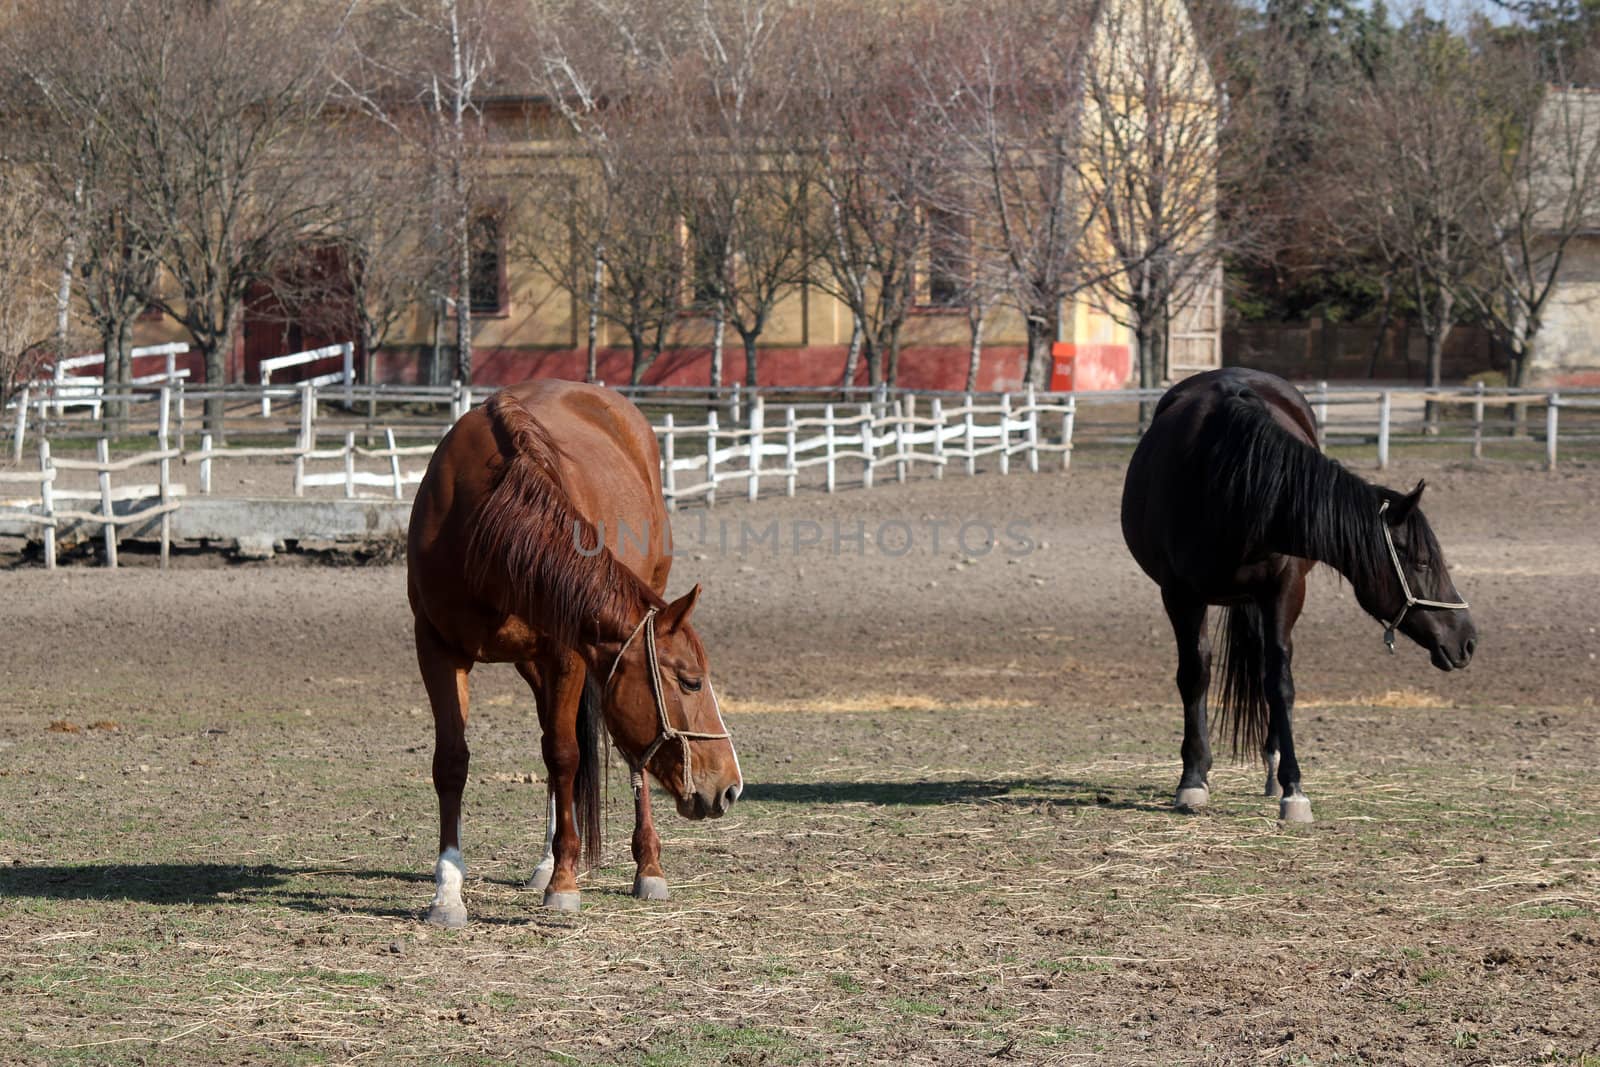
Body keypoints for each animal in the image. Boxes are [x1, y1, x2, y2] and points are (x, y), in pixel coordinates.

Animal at [406, 379, 742, 921]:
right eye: (691, 681)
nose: (730, 786)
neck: (486, 527)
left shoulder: (568, 655)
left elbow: (565, 756)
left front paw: (564, 881)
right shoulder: (436, 648)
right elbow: (452, 762)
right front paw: (448, 890)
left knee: (619, 759)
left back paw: (647, 867)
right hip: (532, 665)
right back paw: (546, 861)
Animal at [1126, 371, 1472, 825]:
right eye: (1422, 562)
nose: (1466, 640)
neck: (1228, 482)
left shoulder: (1285, 590)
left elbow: (1280, 682)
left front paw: (1292, 788)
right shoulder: (1180, 593)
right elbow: (1195, 674)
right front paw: (1193, 778)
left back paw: (1272, 767)